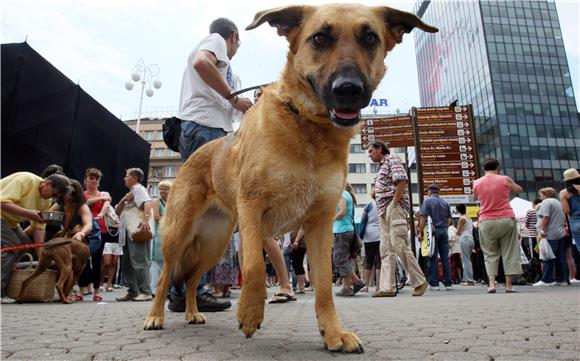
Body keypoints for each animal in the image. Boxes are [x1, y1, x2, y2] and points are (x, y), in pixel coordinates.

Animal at [144, 2, 436, 352]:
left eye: (370, 38)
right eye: (320, 38)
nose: (348, 90)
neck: (306, 123)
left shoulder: (320, 224)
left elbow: (323, 285)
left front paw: (333, 332)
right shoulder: (253, 210)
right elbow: (254, 268)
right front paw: (250, 313)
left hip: (215, 243)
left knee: (190, 279)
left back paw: (191, 311)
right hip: (180, 235)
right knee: (166, 277)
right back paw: (155, 316)